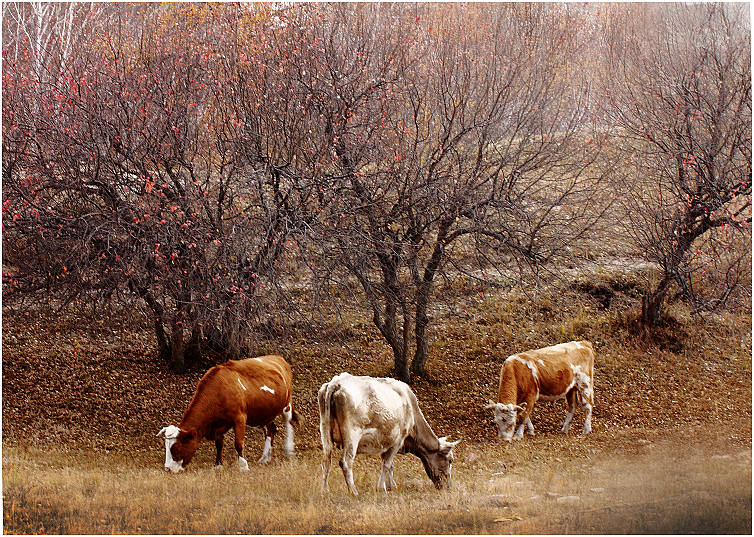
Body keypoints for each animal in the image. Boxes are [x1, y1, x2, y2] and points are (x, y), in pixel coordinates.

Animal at [157, 354, 298, 472]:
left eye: (175, 448)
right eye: (166, 447)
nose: (167, 469)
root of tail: (278, 357)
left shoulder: (240, 417)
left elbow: (238, 444)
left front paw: (243, 466)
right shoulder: (219, 425)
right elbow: (219, 444)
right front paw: (218, 465)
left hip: (287, 404)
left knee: (289, 423)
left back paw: (289, 450)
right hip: (264, 413)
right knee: (271, 430)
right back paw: (265, 458)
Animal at [314, 372, 456, 494]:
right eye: (450, 460)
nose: (449, 486)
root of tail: (337, 382)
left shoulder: (386, 441)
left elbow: (389, 464)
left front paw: (391, 485)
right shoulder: (398, 440)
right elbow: (387, 464)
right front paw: (382, 487)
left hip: (325, 430)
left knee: (326, 460)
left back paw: (325, 490)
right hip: (352, 435)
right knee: (345, 462)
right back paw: (353, 491)